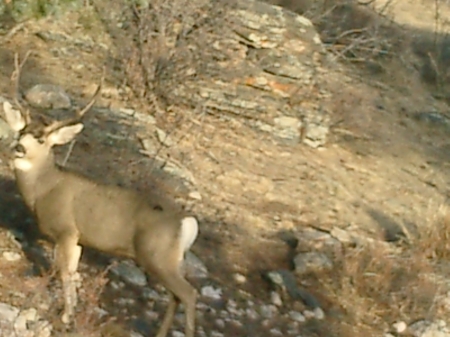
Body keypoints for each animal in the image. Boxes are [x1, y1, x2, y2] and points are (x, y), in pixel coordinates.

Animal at [1, 50, 199, 336]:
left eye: (40, 139)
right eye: (21, 132)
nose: (18, 147)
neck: (43, 189)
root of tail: (188, 222)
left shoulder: (66, 230)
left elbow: (65, 273)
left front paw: (65, 317)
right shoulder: (79, 239)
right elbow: (73, 274)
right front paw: (70, 314)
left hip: (158, 255)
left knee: (189, 294)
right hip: (173, 260)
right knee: (176, 296)